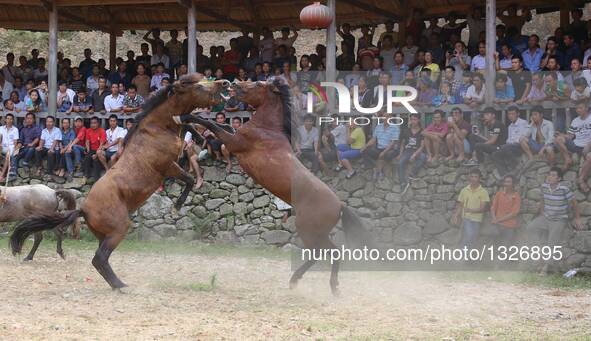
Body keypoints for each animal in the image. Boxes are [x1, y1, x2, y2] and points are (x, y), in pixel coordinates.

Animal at [12, 73, 229, 288]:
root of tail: (83, 210)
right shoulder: (168, 166)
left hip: (106, 235)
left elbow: (187, 122)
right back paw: (121, 286)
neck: (157, 129)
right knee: (99, 259)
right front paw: (177, 206)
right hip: (118, 229)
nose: (224, 83)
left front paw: (203, 135)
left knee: (100, 259)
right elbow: (190, 178)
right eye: (198, 86)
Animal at [182, 77, 374, 294]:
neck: (266, 129)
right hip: (317, 233)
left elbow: (212, 124)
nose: (235, 84)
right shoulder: (234, 136)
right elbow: (221, 125)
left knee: (325, 253)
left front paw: (187, 116)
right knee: (327, 253)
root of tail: (339, 205)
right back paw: (314, 283)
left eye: (258, 84)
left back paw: (314, 284)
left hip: (308, 230)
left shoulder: (233, 142)